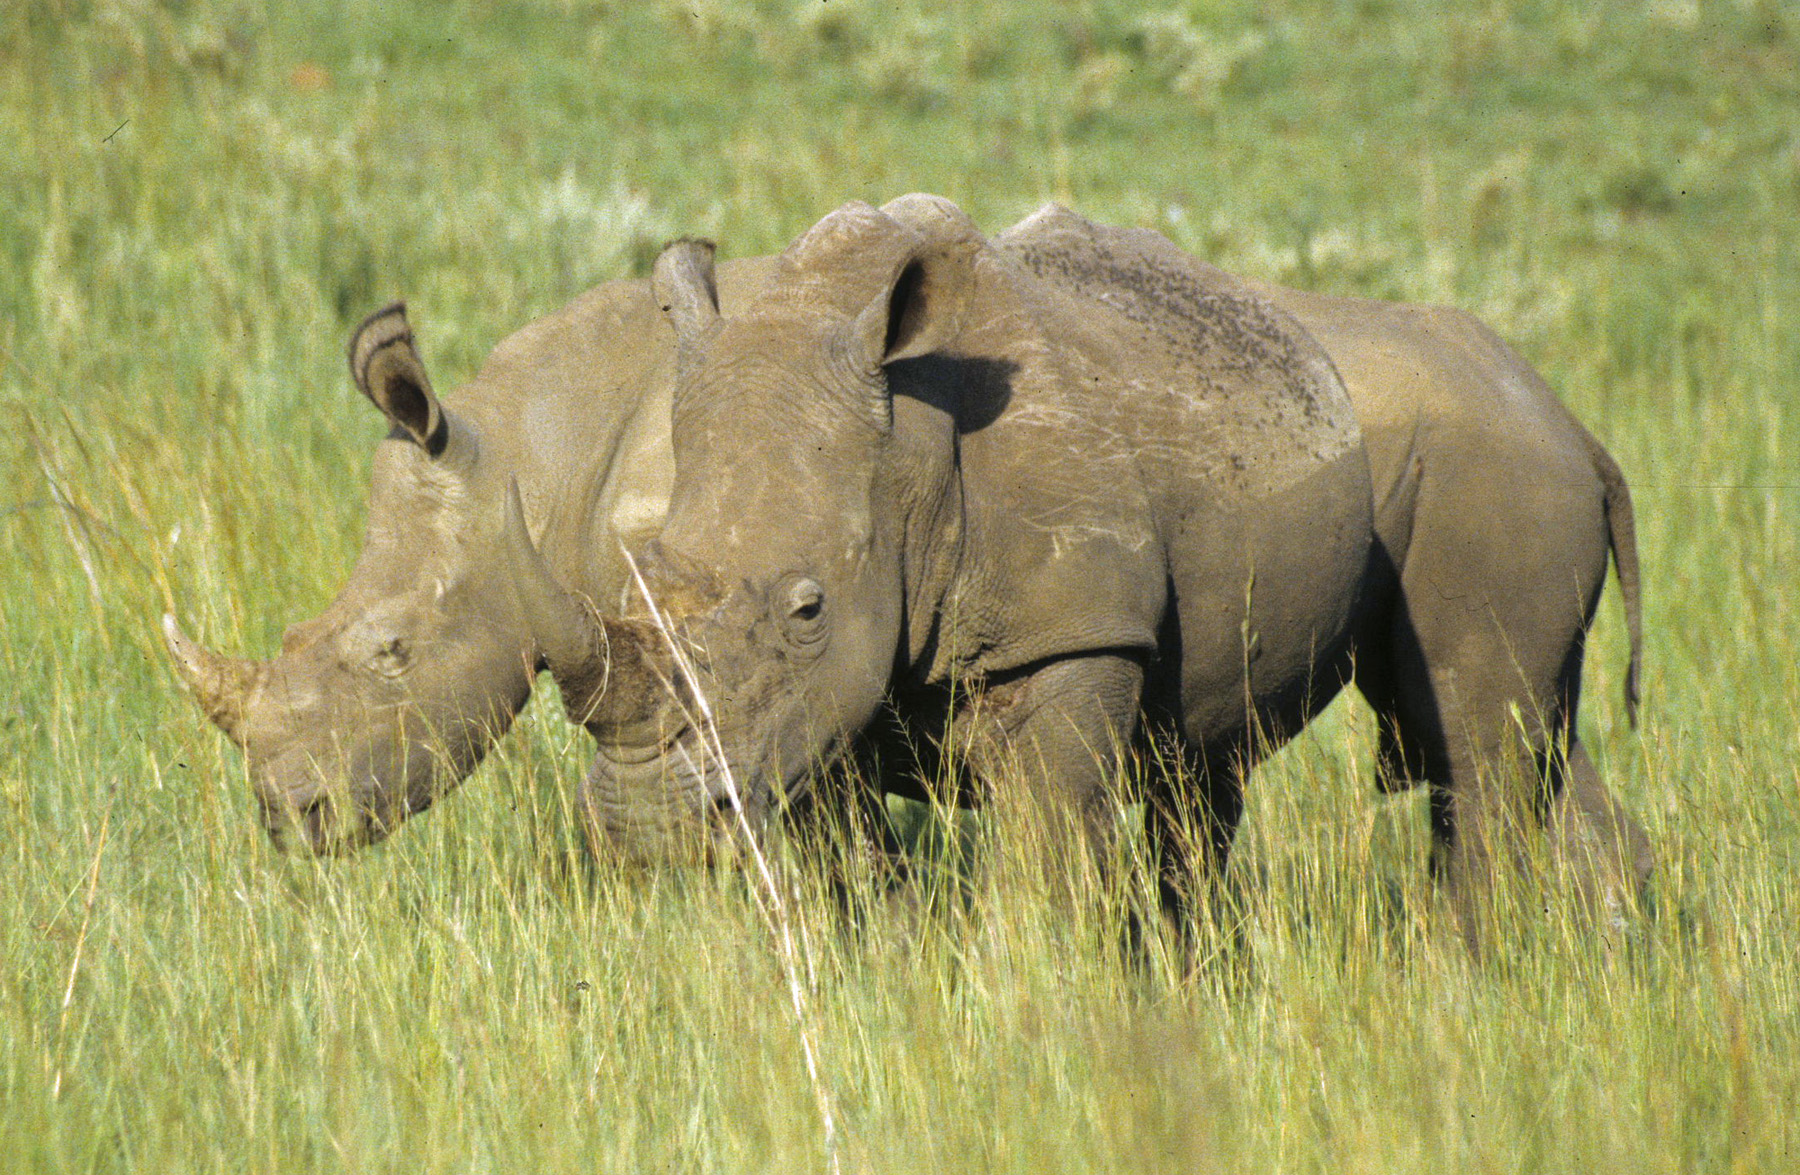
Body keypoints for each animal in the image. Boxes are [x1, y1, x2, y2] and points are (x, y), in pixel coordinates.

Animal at [165, 194, 1650, 933]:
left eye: (390, 652)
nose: (286, 812)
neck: (549, 449)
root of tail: (1577, 423)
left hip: (1488, 468)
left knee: (1471, 739)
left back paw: (1468, 973)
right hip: (1468, 459)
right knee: (1517, 742)